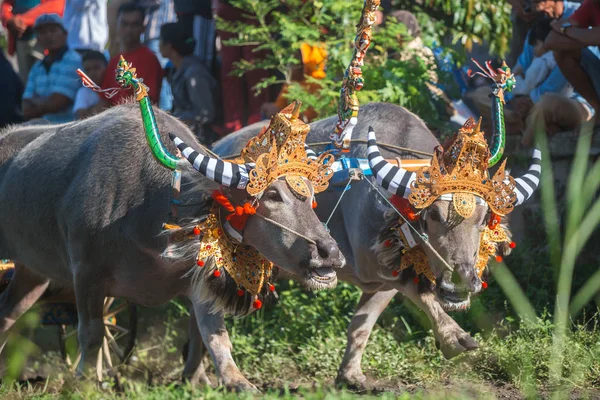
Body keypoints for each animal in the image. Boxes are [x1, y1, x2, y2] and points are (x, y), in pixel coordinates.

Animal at [0, 104, 344, 390]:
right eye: (272, 195)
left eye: (311, 196)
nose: (329, 252)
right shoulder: (86, 274)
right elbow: (91, 334)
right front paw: (84, 382)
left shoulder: (197, 279)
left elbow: (214, 337)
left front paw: (234, 381)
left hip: (31, 275)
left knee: (7, 313)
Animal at [191, 101, 540, 390]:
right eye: (433, 216)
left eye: (483, 218)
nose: (462, 281)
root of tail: (218, 146)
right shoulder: (376, 263)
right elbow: (423, 294)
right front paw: (455, 338)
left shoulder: (383, 279)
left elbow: (361, 325)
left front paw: (351, 376)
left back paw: (196, 374)